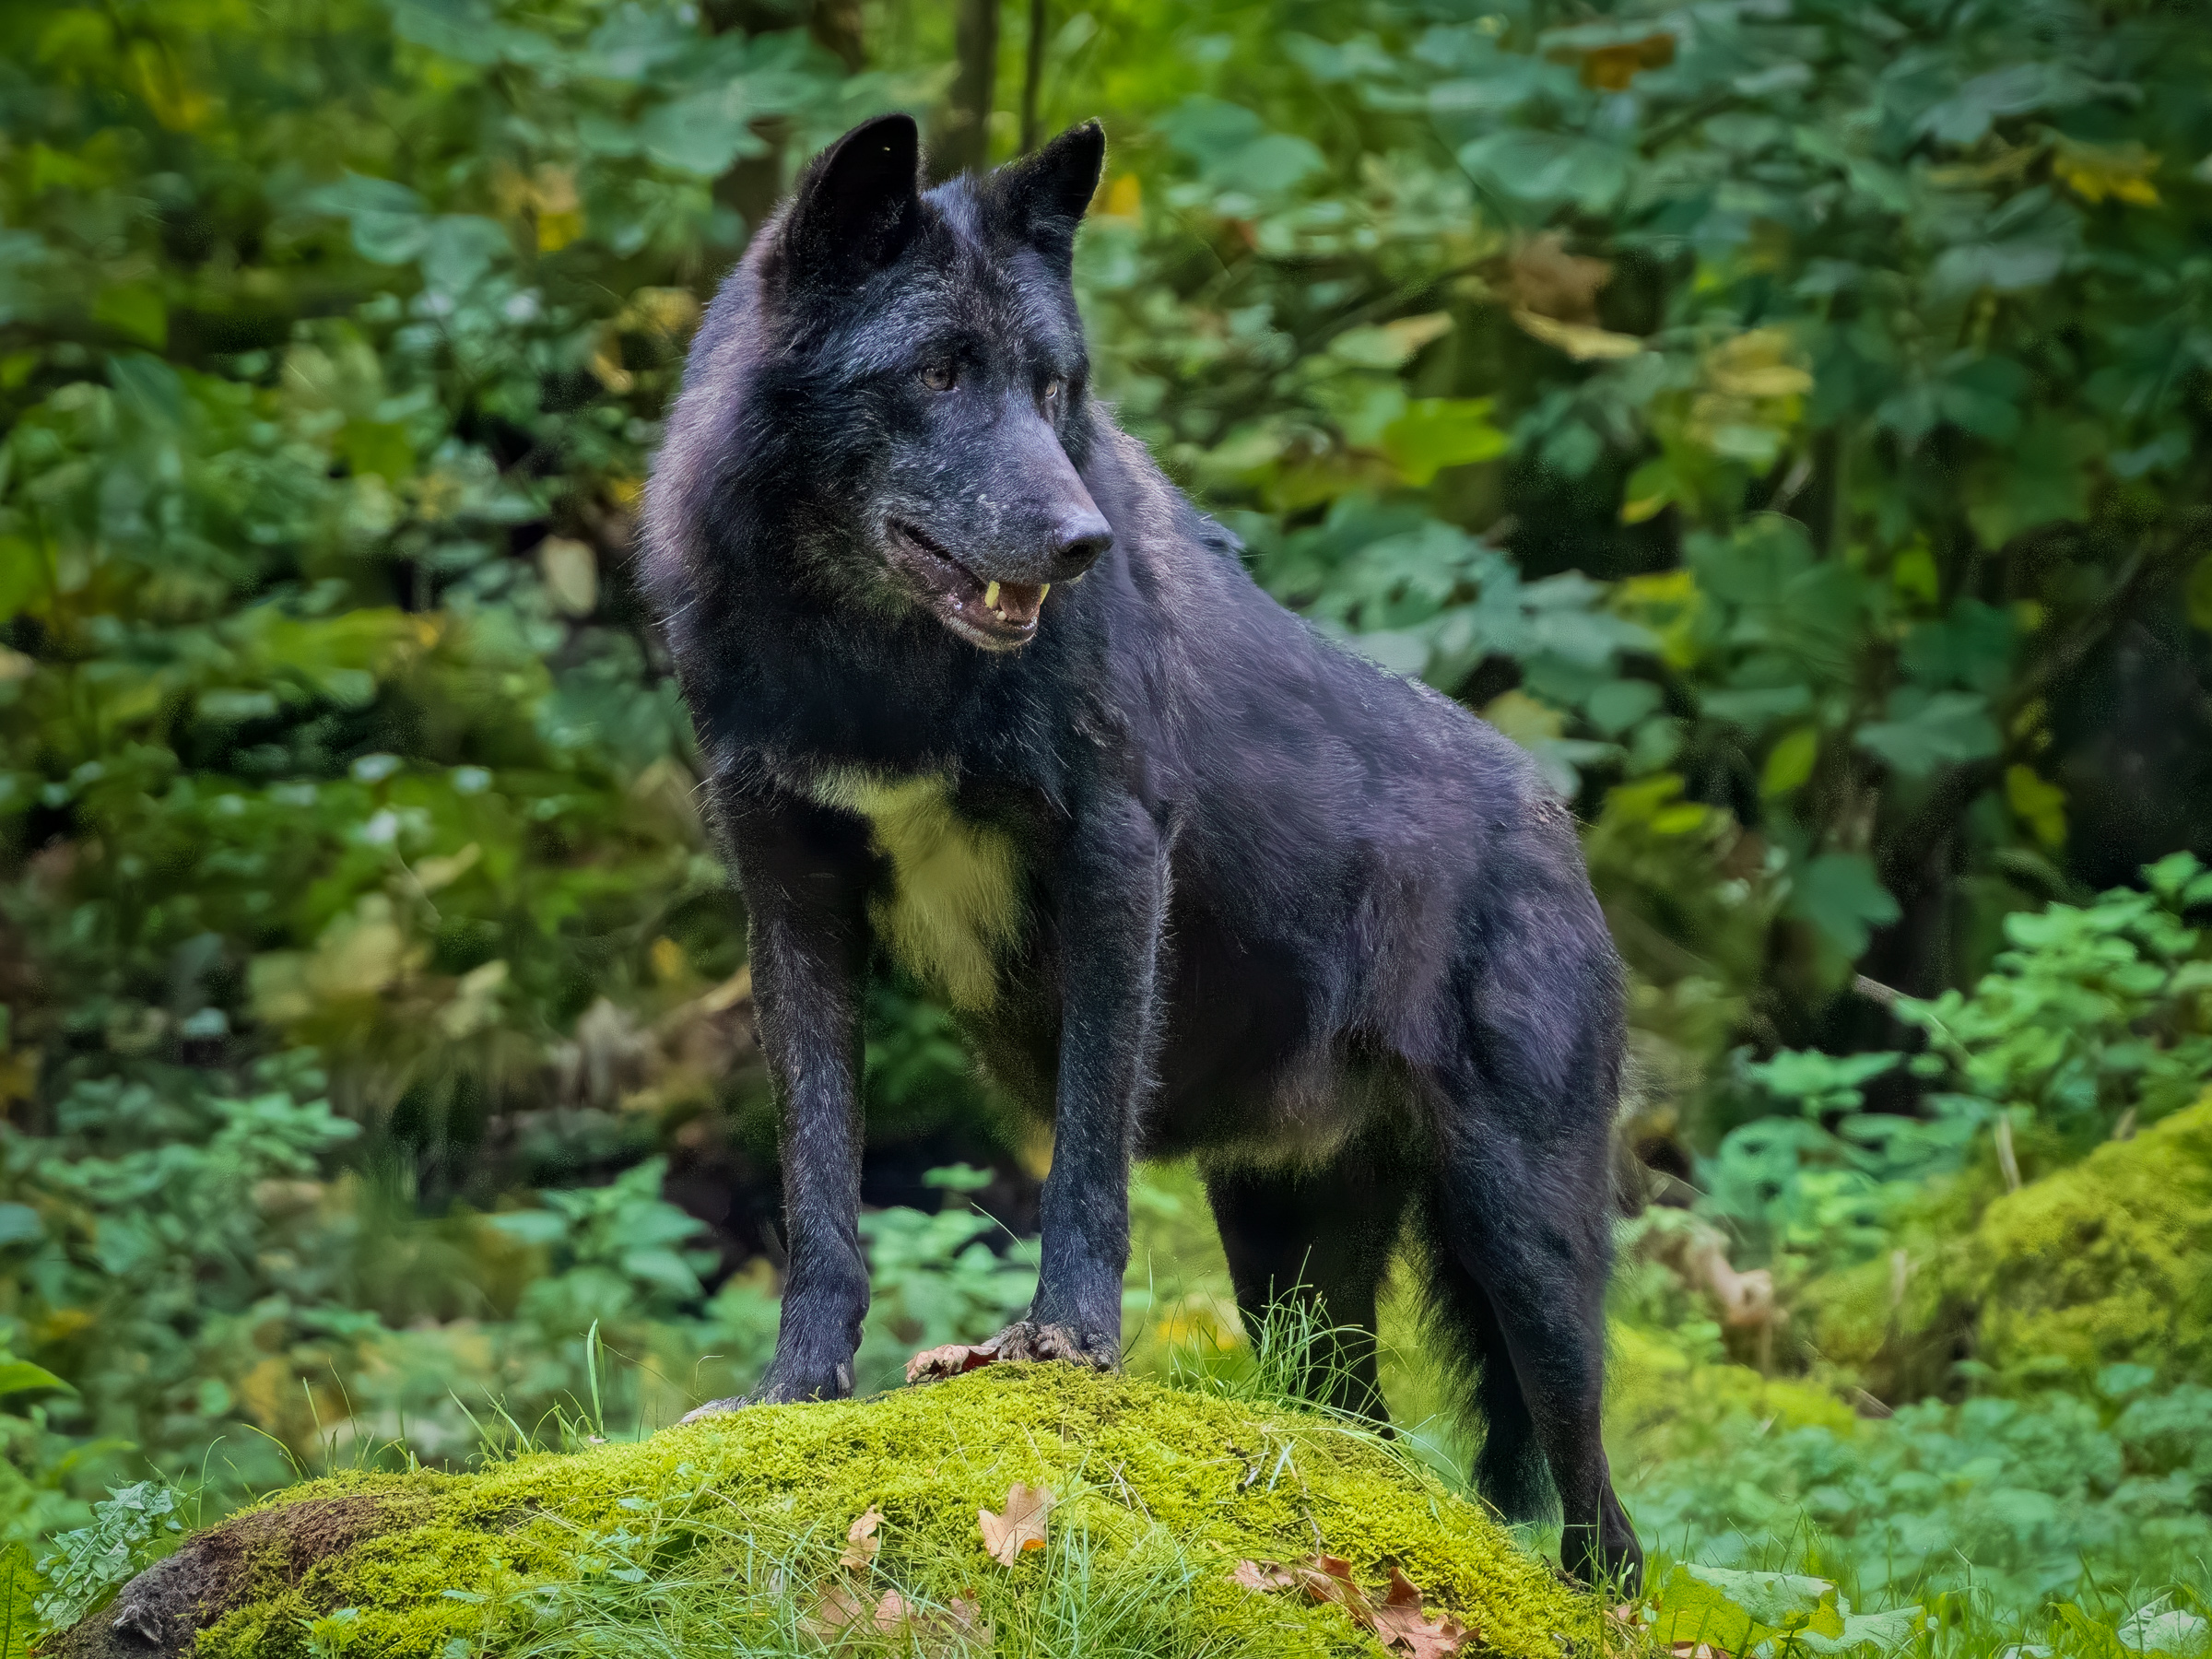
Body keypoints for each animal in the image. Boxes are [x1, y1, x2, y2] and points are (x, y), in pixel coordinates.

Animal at [641, 113, 1641, 1587]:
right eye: (936, 372)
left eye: (1052, 387)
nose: (1081, 545)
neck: (875, 672)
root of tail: (1556, 821)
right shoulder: (791, 900)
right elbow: (820, 1191)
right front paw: (797, 1389)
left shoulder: (1113, 858)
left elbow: (1087, 1153)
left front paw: (1060, 1343)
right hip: (1290, 1271)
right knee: (1367, 1438)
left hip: (1526, 1248)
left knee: (1603, 1513)